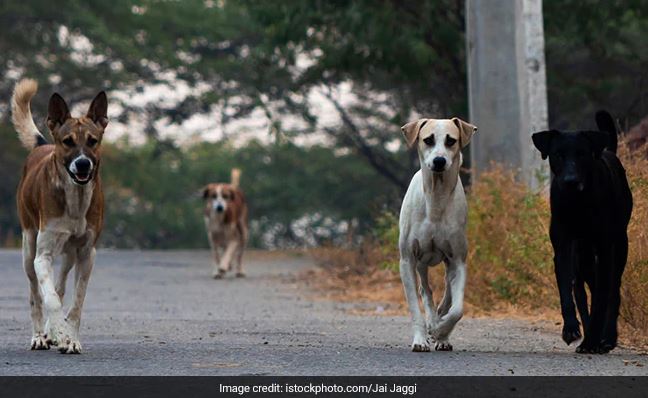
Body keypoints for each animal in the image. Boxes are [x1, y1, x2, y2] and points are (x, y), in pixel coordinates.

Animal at [10, 77, 107, 354]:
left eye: (92, 141)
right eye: (68, 141)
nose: (83, 164)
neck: (75, 199)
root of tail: (43, 145)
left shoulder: (86, 254)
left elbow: (75, 302)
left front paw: (70, 338)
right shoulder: (42, 256)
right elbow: (50, 299)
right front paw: (60, 333)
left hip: (69, 255)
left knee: (61, 284)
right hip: (28, 245)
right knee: (36, 294)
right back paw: (40, 336)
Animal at [398, 116, 478, 352]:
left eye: (451, 140)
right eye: (428, 139)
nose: (439, 161)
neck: (436, 198)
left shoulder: (459, 259)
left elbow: (458, 309)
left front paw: (441, 331)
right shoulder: (407, 260)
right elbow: (415, 306)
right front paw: (420, 338)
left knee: (447, 292)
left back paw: (440, 330)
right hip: (421, 262)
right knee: (425, 290)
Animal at [532, 110, 632, 352]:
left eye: (582, 155)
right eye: (558, 154)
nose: (571, 181)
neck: (578, 203)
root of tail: (608, 151)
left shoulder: (605, 251)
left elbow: (601, 301)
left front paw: (594, 339)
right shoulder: (562, 248)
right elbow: (567, 293)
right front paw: (571, 329)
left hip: (619, 247)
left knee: (613, 291)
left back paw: (607, 338)